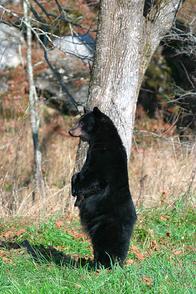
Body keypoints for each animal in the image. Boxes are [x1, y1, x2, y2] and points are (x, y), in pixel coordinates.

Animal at [69, 107, 136, 268]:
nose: (70, 131)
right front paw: (75, 193)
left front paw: (77, 192)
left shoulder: (103, 159)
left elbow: (94, 180)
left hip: (106, 224)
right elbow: (78, 175)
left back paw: (105, 263)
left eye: (82, 122)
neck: (102, 141)